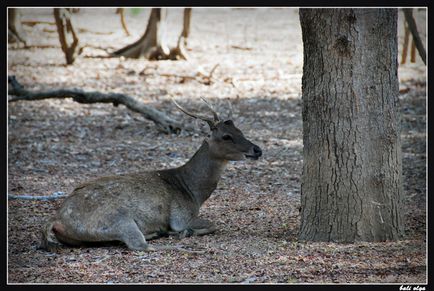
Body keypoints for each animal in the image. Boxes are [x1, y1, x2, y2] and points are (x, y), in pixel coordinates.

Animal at [40, 98, 262, 253]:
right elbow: (211, 224)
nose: (257, 150)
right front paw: (184, 232)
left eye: (240, 130)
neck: (193, 192)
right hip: (119, 219)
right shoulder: (180, 217)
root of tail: (57, 220)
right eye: (226, 136)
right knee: (139, 246)